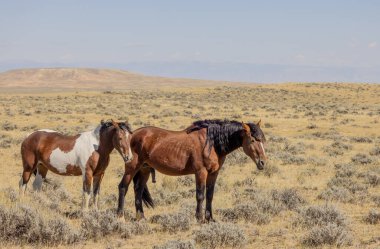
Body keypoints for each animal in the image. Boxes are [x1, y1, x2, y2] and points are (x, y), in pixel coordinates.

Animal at [116, 119, 268, 222]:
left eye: (262, 140)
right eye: (253, 140)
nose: (262, 162)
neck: (211, 143)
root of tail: (132, 135)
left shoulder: (214, 173)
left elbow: (210, 195)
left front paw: (210, 219)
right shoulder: (201, 172)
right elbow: (200, 195)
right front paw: (199, 218)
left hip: (144, 170)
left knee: (138, 189)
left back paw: (141, 217)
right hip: (132, 168)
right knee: (123, 187)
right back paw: (120, 217)